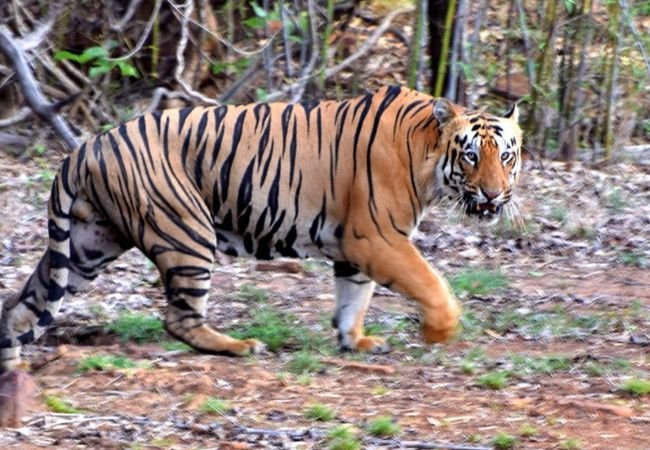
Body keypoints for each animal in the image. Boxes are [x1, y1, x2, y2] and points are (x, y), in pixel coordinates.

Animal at [0, 85, 521, 374]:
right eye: (470, 155)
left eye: (507, 156)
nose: (494, 195)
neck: (427, 155)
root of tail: (85, 148)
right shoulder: (377, 237)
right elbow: (431, 283)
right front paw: (438, 331)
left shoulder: (355, 246)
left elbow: (353, 297)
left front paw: (354, 341)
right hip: (187, 231)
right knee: (179, 317)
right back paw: (238, 346)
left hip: (89, 243)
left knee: (25, 302)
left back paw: (12, 357)